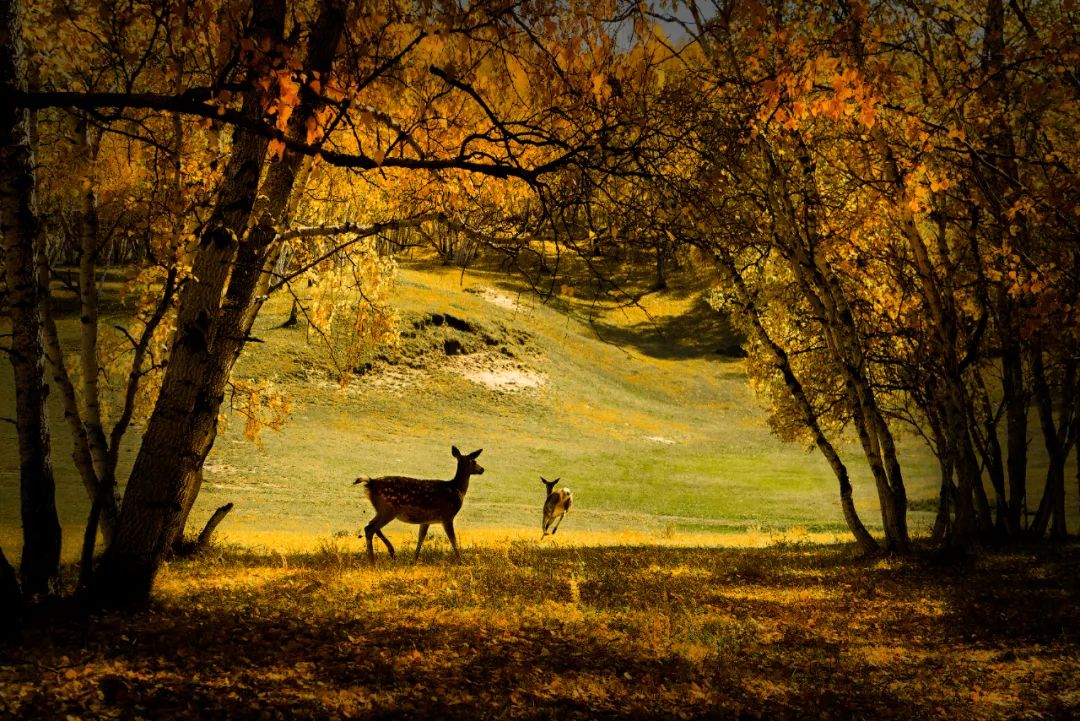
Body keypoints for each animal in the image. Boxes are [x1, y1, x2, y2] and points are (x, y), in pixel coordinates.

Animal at [352, 444, 483, 561]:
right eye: (474, 461)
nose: (482, 469)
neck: (456, 489)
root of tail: (371, 483)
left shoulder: (426, 520)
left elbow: (421, 538)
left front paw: (413, 560)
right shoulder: (447, 516)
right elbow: (453, 540)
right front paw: (461, 561)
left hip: (381, 510)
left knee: (372, 526)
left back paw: (390, 552)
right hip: (388, 509)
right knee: (369, 528)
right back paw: (373, 561)